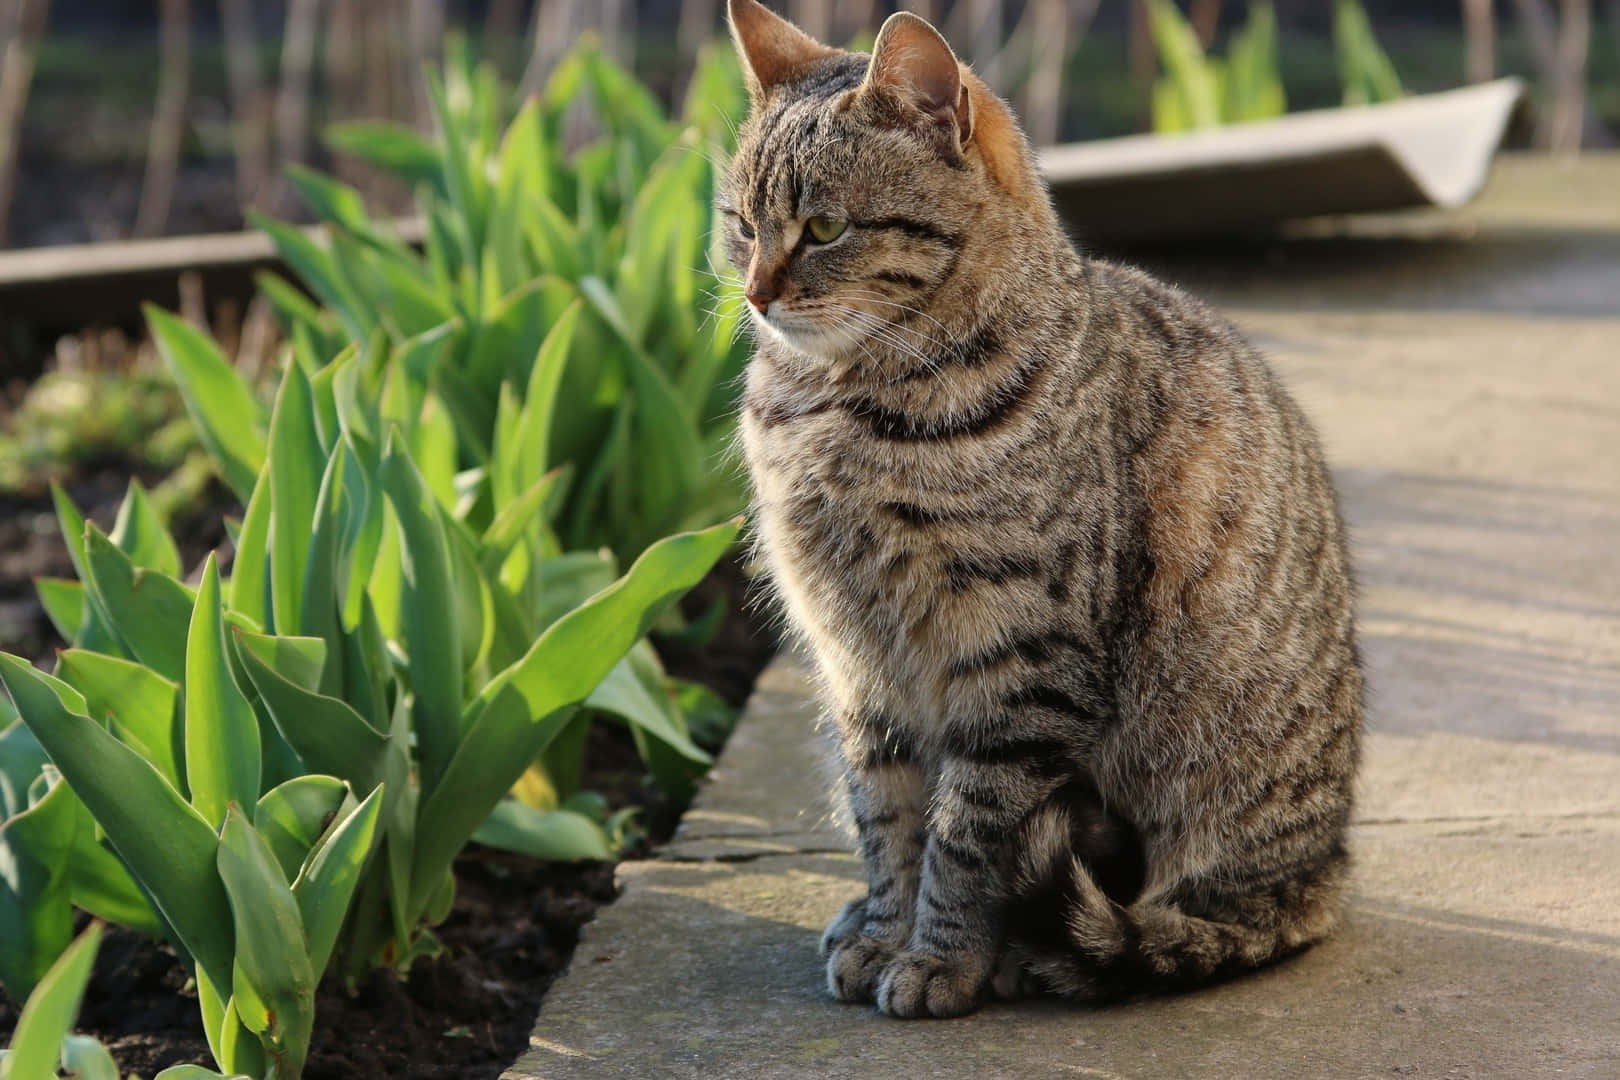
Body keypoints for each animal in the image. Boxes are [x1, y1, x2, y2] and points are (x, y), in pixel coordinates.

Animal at [722, 0, 1367, 1016]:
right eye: (741, 226)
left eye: (824, 227)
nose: (754, 294)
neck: (838, 408)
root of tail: (1328, 867)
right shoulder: (857, 665)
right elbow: (885, 818)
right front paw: (882, 931)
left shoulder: (1017, 662)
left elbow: (965, 837)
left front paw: (941, 960)